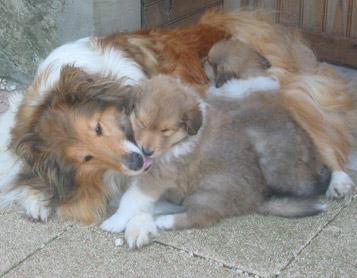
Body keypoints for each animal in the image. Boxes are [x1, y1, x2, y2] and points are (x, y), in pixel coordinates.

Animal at [0, 9, 354, 224]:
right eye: (85, 158)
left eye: (98, 127)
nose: (135, 161)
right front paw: (36, 199)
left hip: (289, 89)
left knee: (323, 132)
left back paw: (338, 180)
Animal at [100, 75, 328, 249]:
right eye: (141, 123)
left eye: (166, 130)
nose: (147, 151)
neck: (178, 141)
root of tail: (257, 199)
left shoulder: (159, 176)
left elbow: (132, 198)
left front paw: (115, 221)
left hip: (208, 190)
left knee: (202, 216)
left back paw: (165, 221)